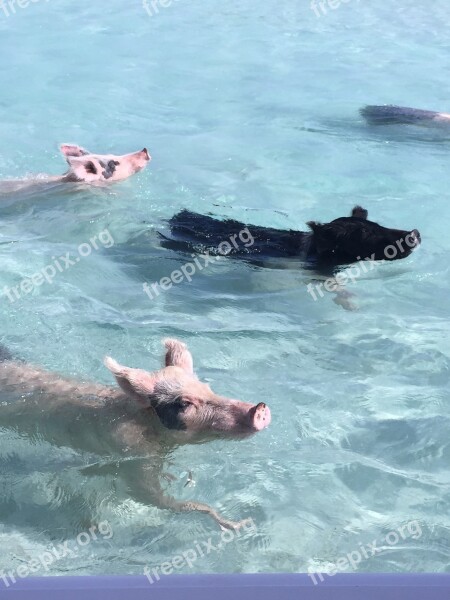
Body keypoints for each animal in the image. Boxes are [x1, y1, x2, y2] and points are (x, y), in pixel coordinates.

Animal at [0, 338, 270, 528]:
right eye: (184, 403)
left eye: (207, 387)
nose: (260, 408)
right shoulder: (133, 454)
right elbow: (150, 497)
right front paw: (239, 524)